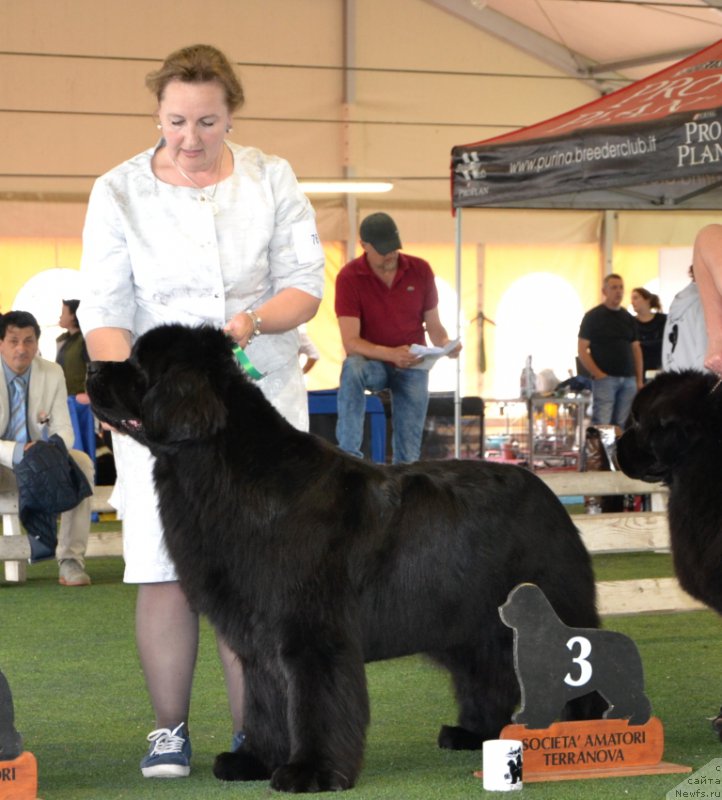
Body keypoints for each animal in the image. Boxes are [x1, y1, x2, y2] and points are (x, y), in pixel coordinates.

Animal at [87, 324, 600, 792]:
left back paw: (586, 733)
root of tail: (544, 488)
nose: (91, 367)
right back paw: (475, 734)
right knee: (487, 670)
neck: (221, 471)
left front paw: (310, 772)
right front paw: (255, 760)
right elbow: (265, 700)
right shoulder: (258, 636)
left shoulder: (312, 632)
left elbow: (314, 703)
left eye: (137, 366)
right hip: (467, 620)